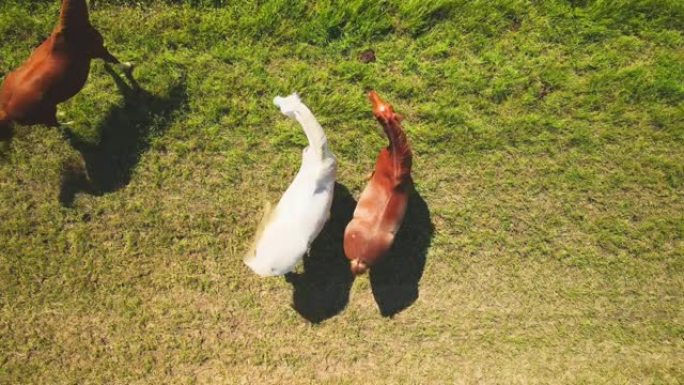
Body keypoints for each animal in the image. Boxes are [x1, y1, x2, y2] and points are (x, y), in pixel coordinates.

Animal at [0, 0, 130, 141]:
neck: (70, 27)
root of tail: (6, 111)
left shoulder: (96, 52)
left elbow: (108, 63)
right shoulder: (99, 49)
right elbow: (114, 60)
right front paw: (128, 65)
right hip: (46, 114)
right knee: (53, 124)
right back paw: (69, 122)